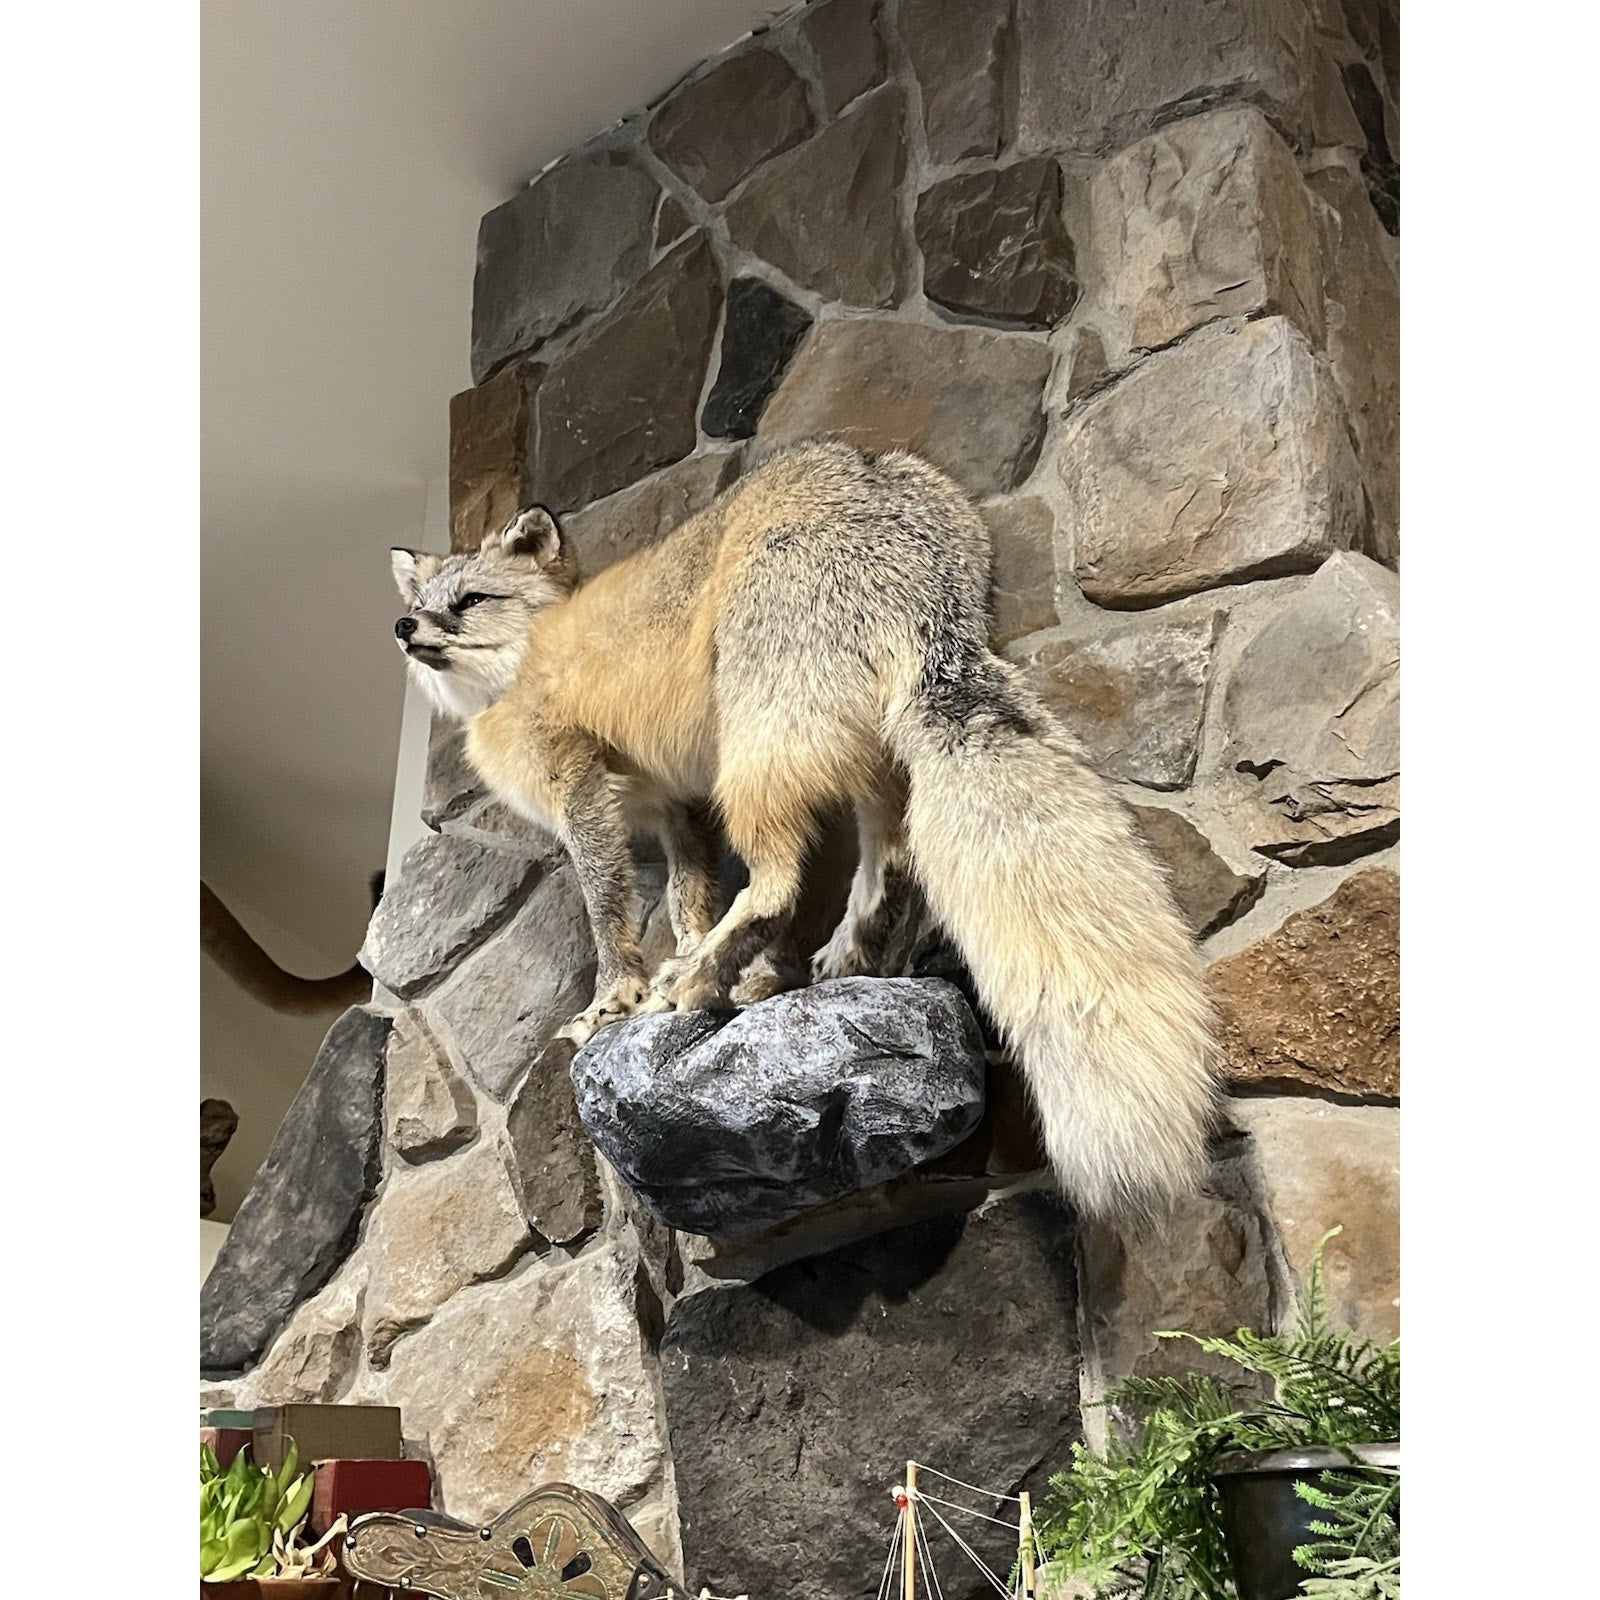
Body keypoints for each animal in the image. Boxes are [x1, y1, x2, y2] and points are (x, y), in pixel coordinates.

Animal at [390, 440, 1218, 1217]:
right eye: (421, 602)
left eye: (468, 601)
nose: (402, 626)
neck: (522, 668)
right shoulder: (676, 806)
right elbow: (688, 896)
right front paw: (682, 949)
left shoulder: (583, 790)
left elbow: (607, 914)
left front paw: (617, 996)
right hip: (866, 758)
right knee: (891, 866)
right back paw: (828, 961)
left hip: (753, 752)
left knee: (782, 882)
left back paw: (708, 978)